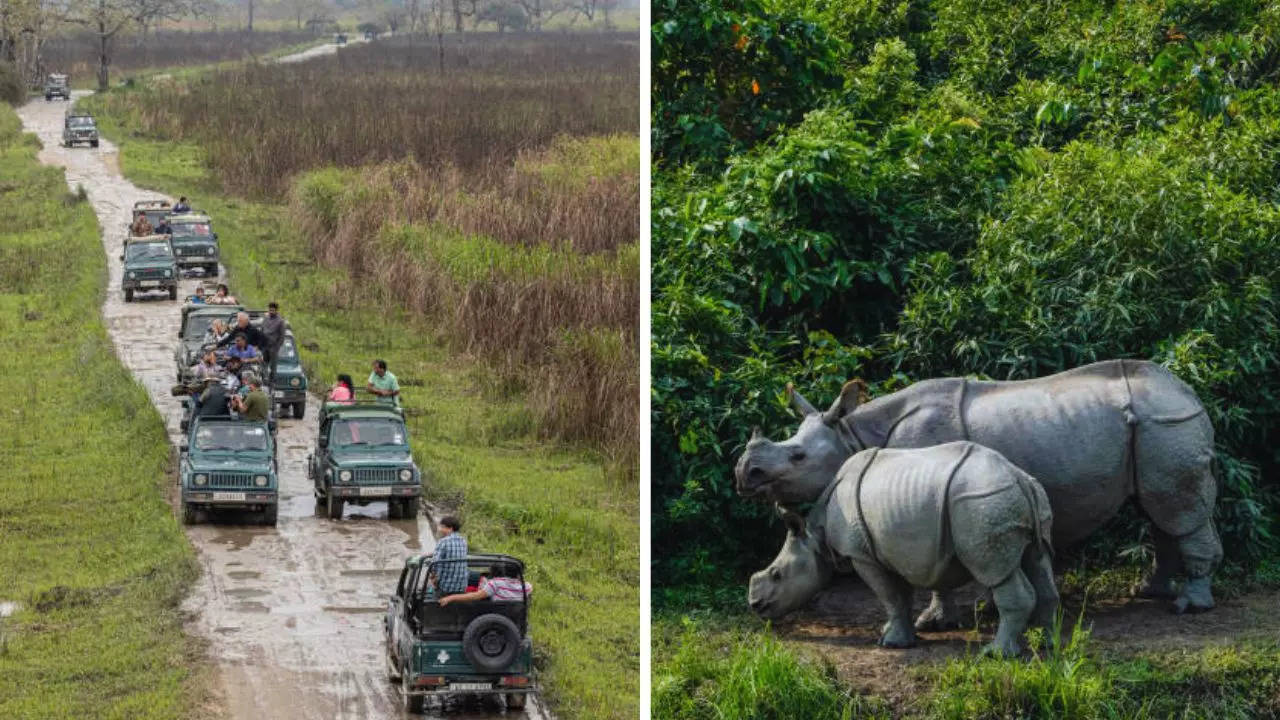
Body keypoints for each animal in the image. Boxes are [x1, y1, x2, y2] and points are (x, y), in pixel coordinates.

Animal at [747, 438, 1049, 655]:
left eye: (777, 574)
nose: (755, 606)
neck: (815, 534)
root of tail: (1019, 477)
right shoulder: (892, 549)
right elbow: (899, 597)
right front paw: (893, 633)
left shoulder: (862, 555)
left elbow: (889, 595)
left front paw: (891, 644)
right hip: (1014, 497)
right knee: (1038, 560)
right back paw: (1046, 642)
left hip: (981, 501)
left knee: (995, 571)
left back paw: (997, 654)